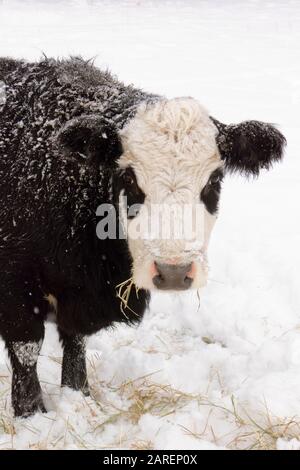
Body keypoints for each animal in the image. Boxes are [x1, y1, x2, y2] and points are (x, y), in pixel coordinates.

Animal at [0, 57, 286, 416]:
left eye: (214, 181)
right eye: (130, 179)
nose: (174, 272)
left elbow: (76, 343)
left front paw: (79, 398)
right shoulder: (15, 288)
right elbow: (27, 349)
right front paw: (30, 412)